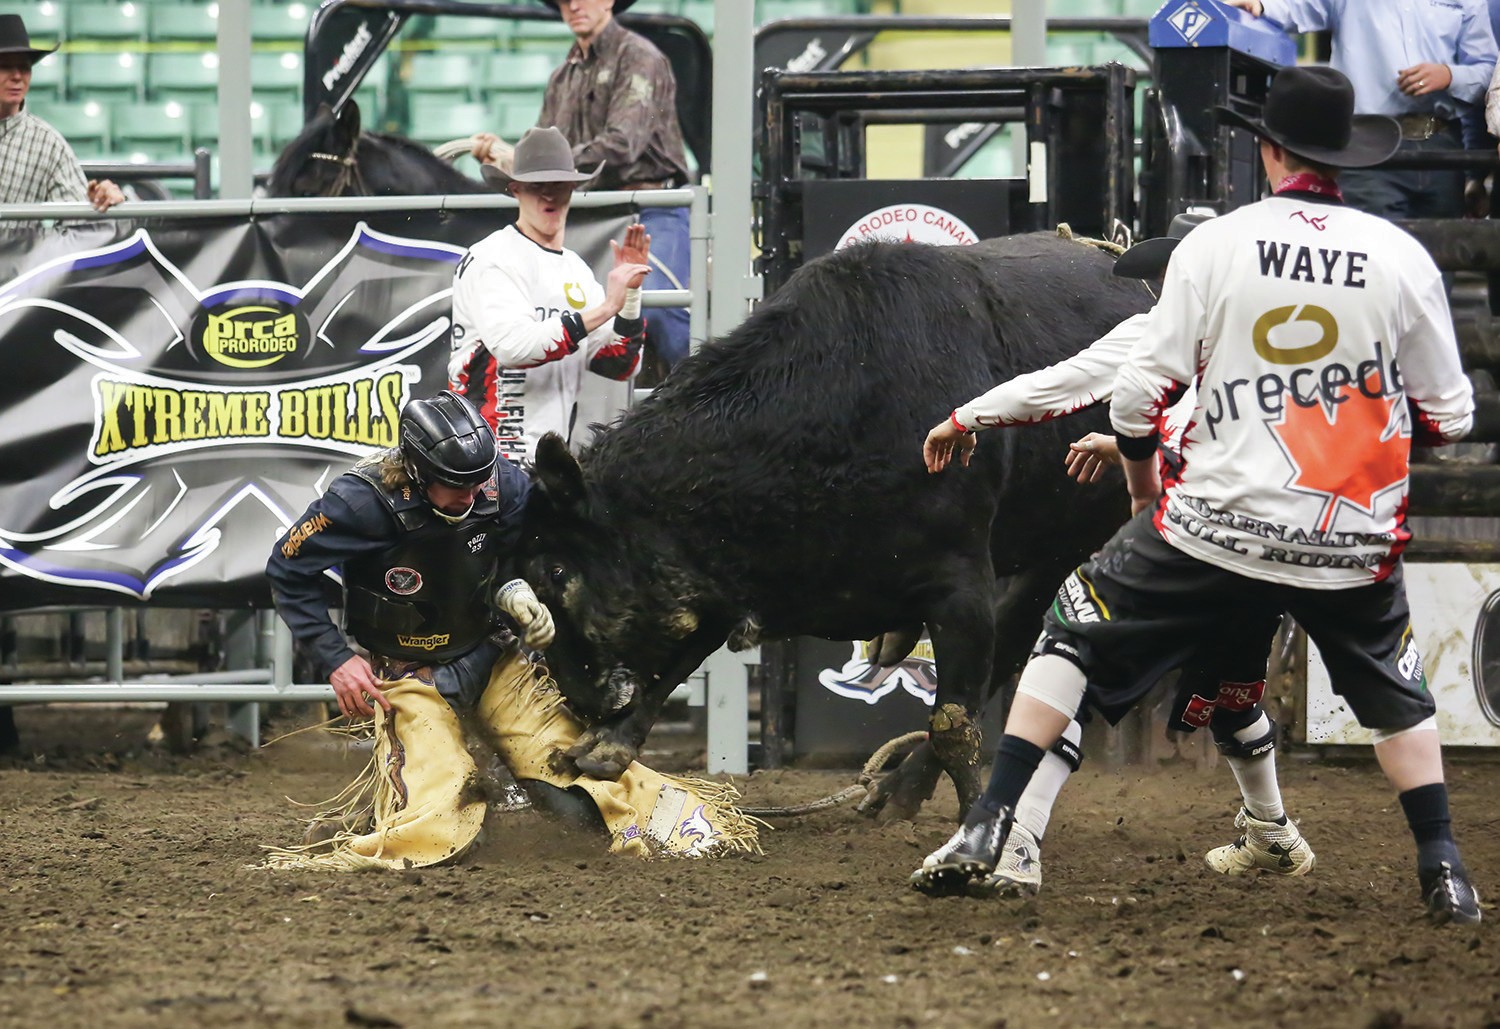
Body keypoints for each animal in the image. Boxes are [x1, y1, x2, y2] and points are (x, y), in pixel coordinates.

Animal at [522, 234, 1152, 822]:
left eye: (556, 569)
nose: (575, 699)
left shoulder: (961, 585)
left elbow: (955, 721)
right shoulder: (726, 567)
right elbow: (684, 651)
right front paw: (606, 747)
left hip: (1066, 544)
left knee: (1010, 647)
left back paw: (905, 787)